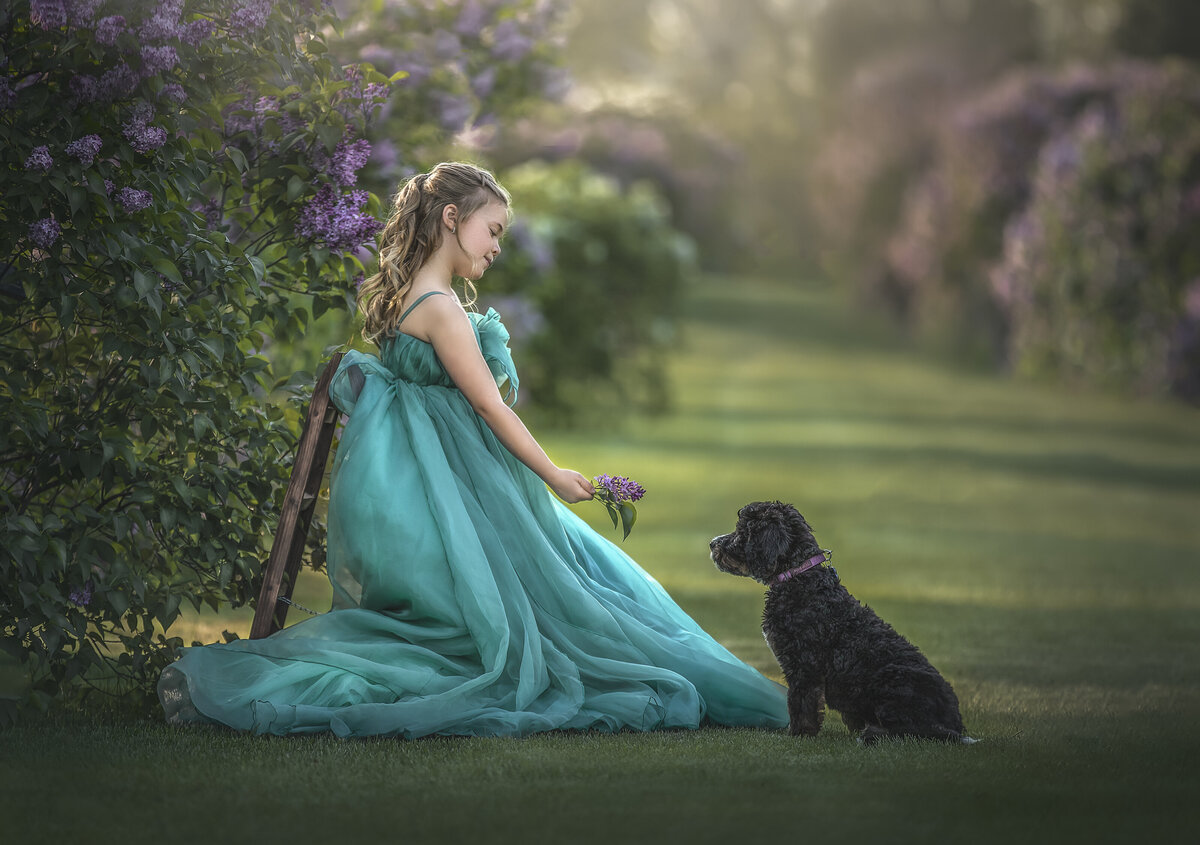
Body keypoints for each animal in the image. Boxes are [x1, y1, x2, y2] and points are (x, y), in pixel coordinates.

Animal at [705, 499, 969, 744]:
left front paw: (799, 735)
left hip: (893, 683)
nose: (712, 543)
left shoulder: (805, 666)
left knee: (911, 732)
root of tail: (955, 723)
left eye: (742, 531)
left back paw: (872, 734)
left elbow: (801, 705)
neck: (800, 579)